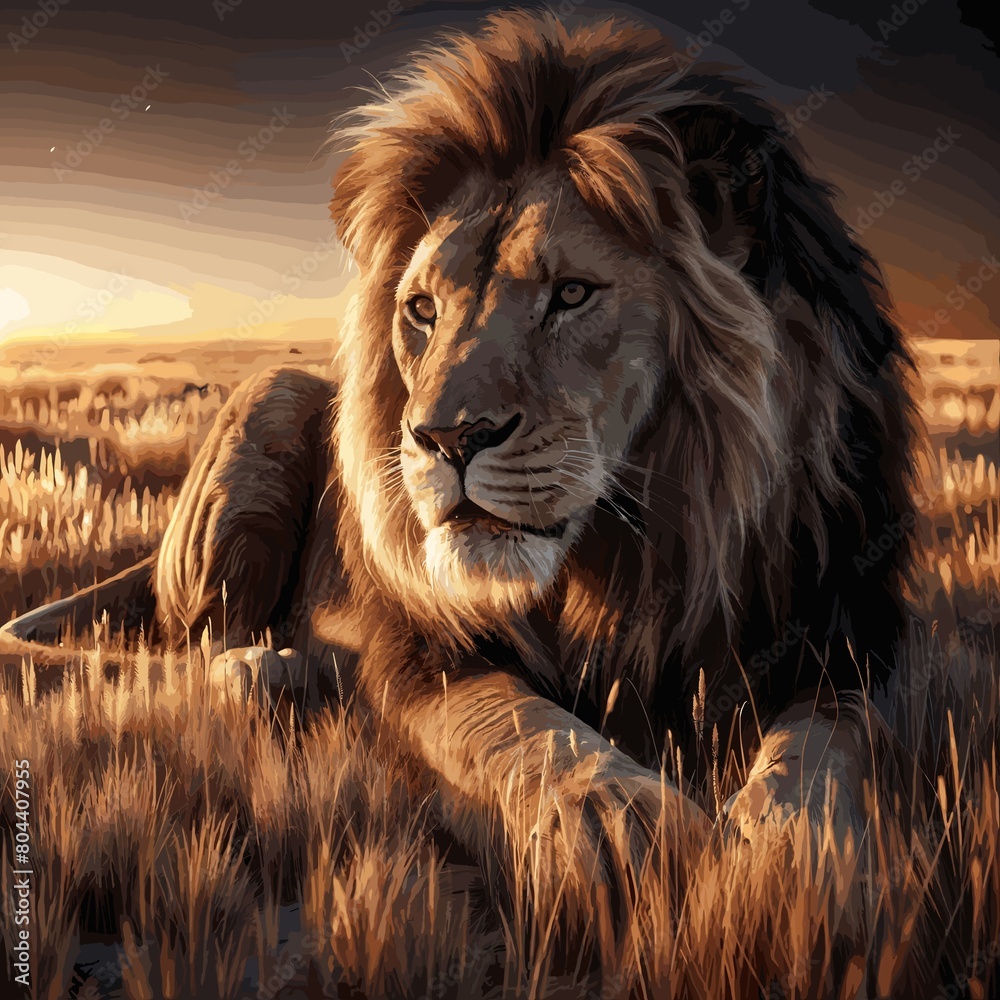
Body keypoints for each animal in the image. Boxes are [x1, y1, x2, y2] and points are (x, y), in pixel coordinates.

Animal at [4, 8, 916, 968]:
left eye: (572, 294)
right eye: (422, 311)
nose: (443, 439)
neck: (638, 548)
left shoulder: (845, 631)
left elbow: (827, 746)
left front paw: (798, 858)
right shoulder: (414, 640)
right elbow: (510, 718)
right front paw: (615, 821)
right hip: (275, 401)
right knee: (192, 646)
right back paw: (270, 672)